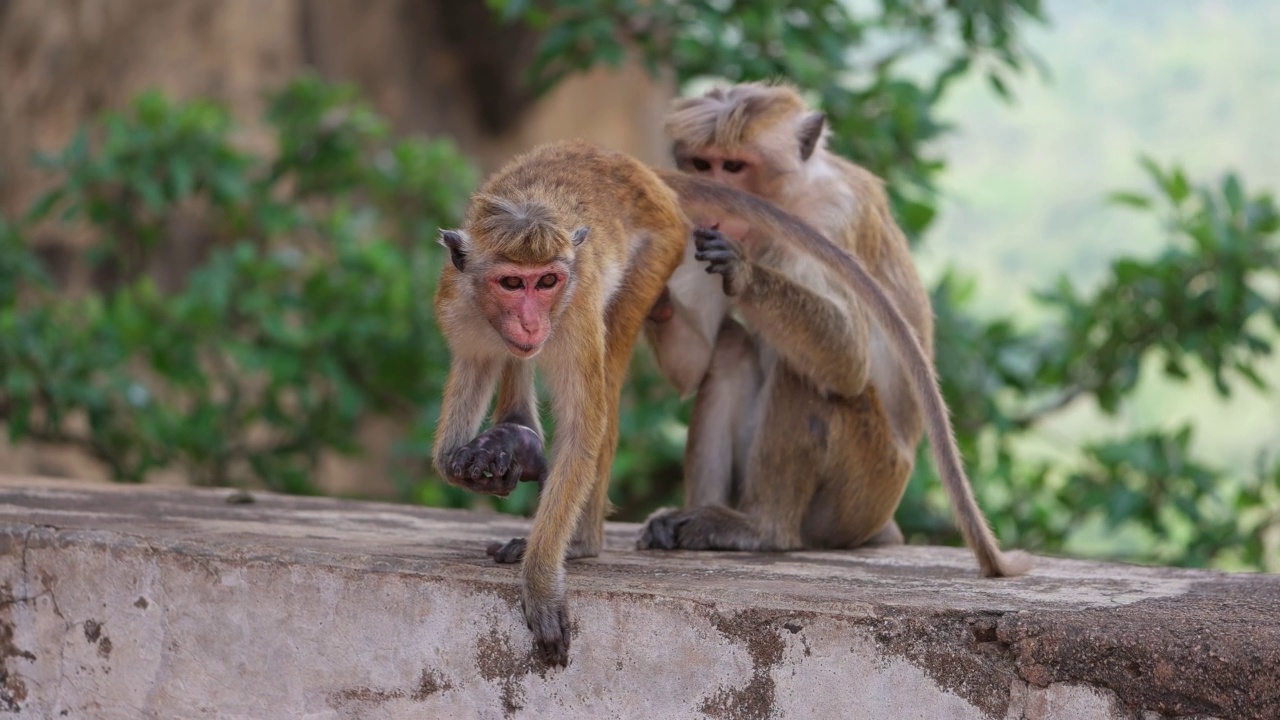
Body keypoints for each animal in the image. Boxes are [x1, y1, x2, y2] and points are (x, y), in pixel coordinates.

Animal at [640, 82, 1029, 576]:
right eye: (701, 163)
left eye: (733, 166)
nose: (713, 195)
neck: (790, 196)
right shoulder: (698, 229)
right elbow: (691, 364)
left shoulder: (832, 217)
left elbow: (848, 359)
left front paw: (743, 273)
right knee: (730, 348)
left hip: (863, 492)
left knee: (810, 378)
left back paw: (762, 529)